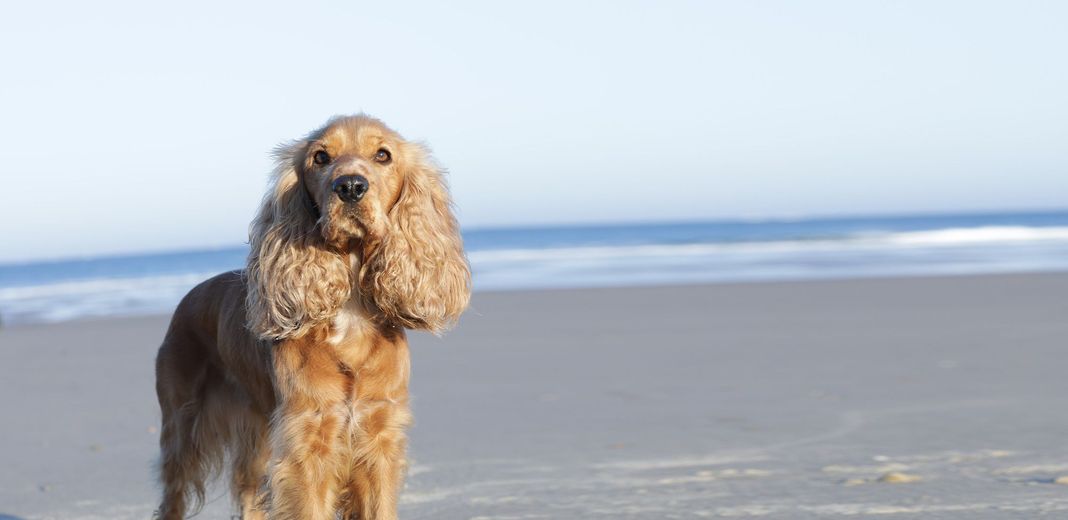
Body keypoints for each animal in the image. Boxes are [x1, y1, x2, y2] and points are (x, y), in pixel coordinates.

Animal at [152, 114, 469, 520]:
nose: (349, 186)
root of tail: (188, 297)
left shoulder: (378, 439)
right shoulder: (307, 446)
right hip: (183, 429)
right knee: (173, 495)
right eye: (321, 157)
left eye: (383, 155)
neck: (351, 314)